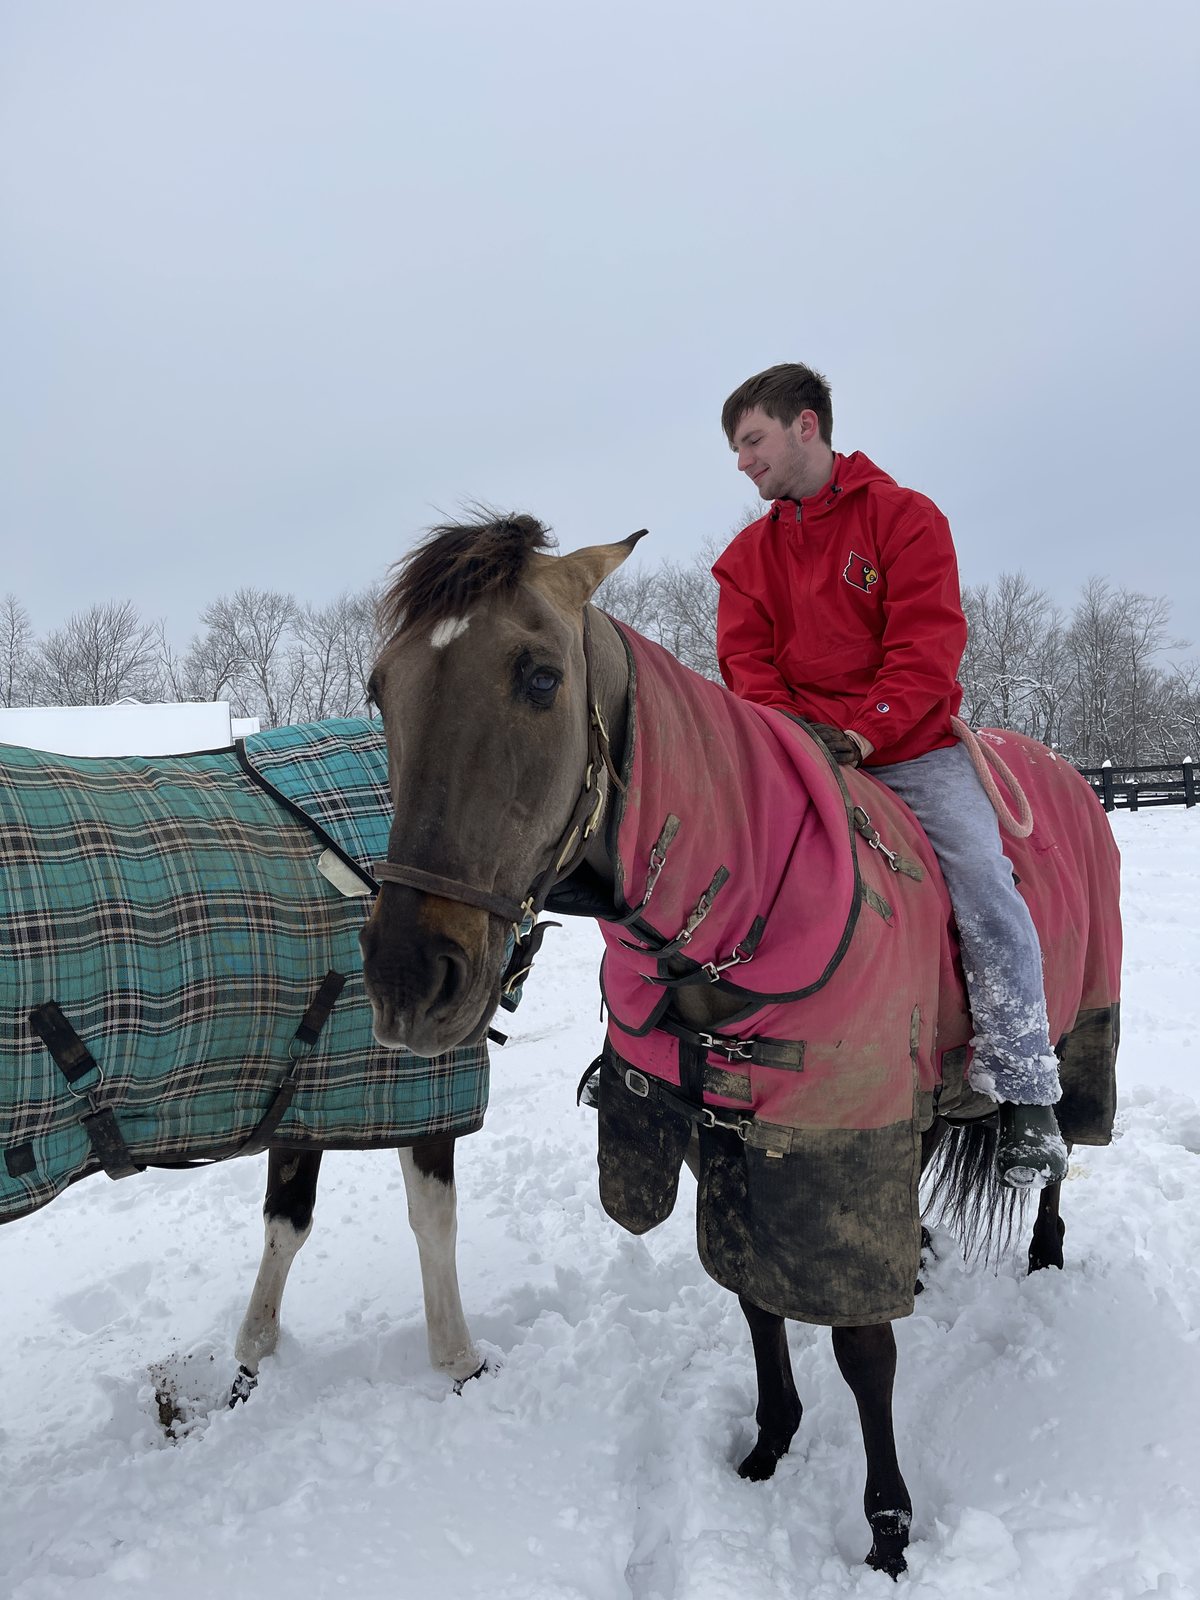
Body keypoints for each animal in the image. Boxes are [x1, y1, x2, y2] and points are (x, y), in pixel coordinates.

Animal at [0, 716, 488, 1407]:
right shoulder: (418, 1085)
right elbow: (434, 1219)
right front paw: (459, 1359)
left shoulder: (307, 1094)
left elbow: (287, 1222)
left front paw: (252, 1357)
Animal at [359, 512, 1121, 1579]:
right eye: (380, 689)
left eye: (540, 677)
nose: (405, 980)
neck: (740, 916)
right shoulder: (721, 1135)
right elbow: (755, 1300)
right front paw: (770, 1442)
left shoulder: (836, 1137)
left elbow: (863, 1351)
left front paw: (888, 1532)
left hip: (1079, 1028)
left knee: (1058, 1146)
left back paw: (1044, 1239)